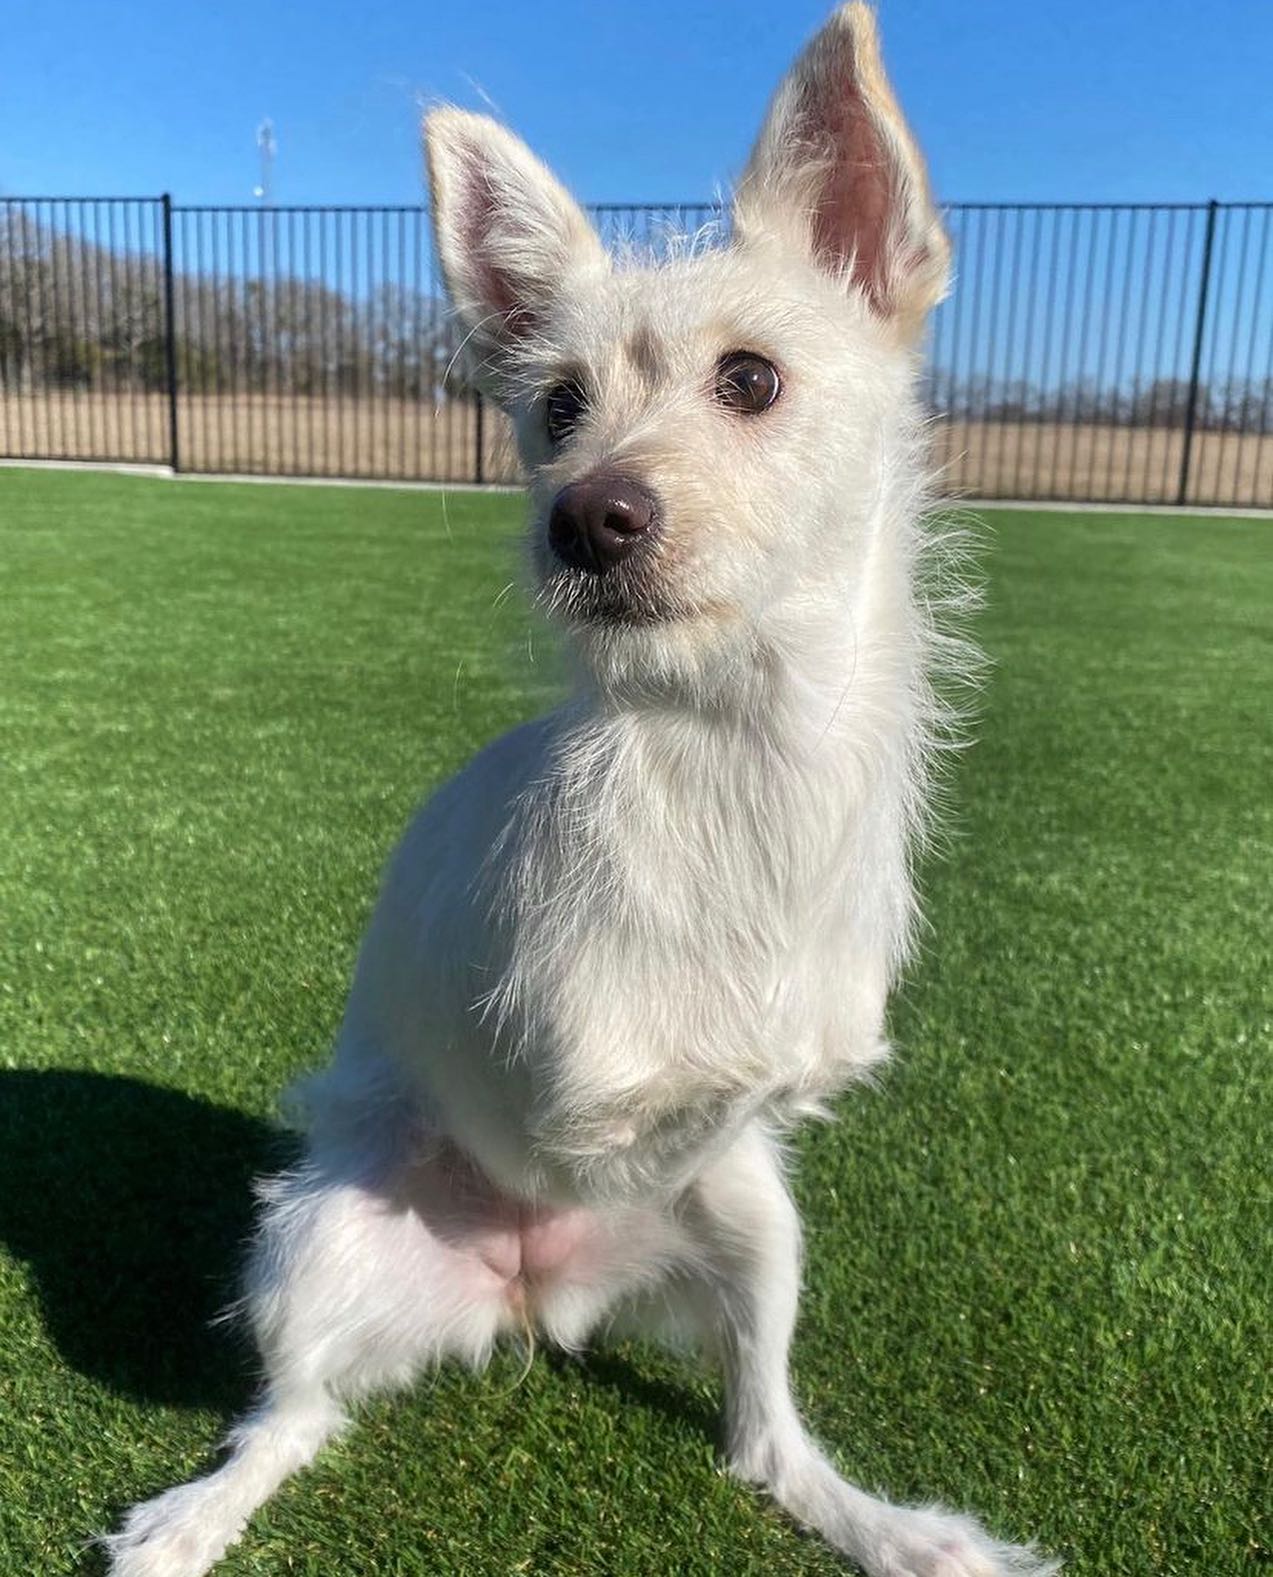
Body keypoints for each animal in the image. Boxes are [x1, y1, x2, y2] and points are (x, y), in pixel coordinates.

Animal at [104, 12, 1060, 1577]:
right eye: (553, 408)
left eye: (751, 379)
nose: (584, 516)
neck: (724, 740)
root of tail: (532, 1295)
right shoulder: (559, 1107)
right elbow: (707, 1072)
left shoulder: (731, 1117)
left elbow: (789, 1061)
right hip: (320, 1239)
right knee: (291, 1416)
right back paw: (195, 1516)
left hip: (757, 1229)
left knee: (761, 1433)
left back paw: (884, 1524)